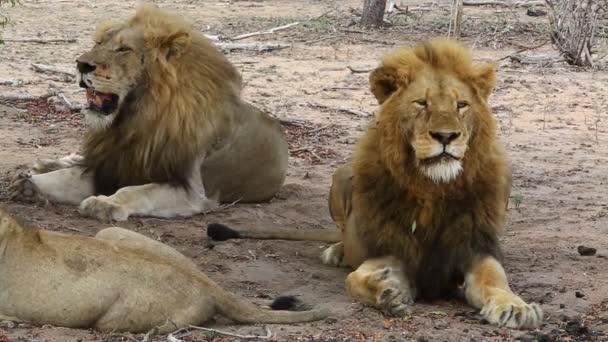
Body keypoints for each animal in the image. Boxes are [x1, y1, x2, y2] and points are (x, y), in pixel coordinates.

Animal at [7, 4, 288, 222]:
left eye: (123, 49)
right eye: (98, 43)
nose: (81, 64)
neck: (135, 120)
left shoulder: (193, 192)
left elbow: (138, 191)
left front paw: (105, 203)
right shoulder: (110, 165)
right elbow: (66, 176)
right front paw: (29, 185)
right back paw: (45, 163)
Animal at [207, 39, 544, 328]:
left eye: (461, 105)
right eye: (421, 103)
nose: (446, 136)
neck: (432, 189)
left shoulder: (474, 247)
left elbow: (493, 280)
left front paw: (514, 307)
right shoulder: (389, 248)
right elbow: (355, 279)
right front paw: (387, 292)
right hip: (341, 179)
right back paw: (337, 252)